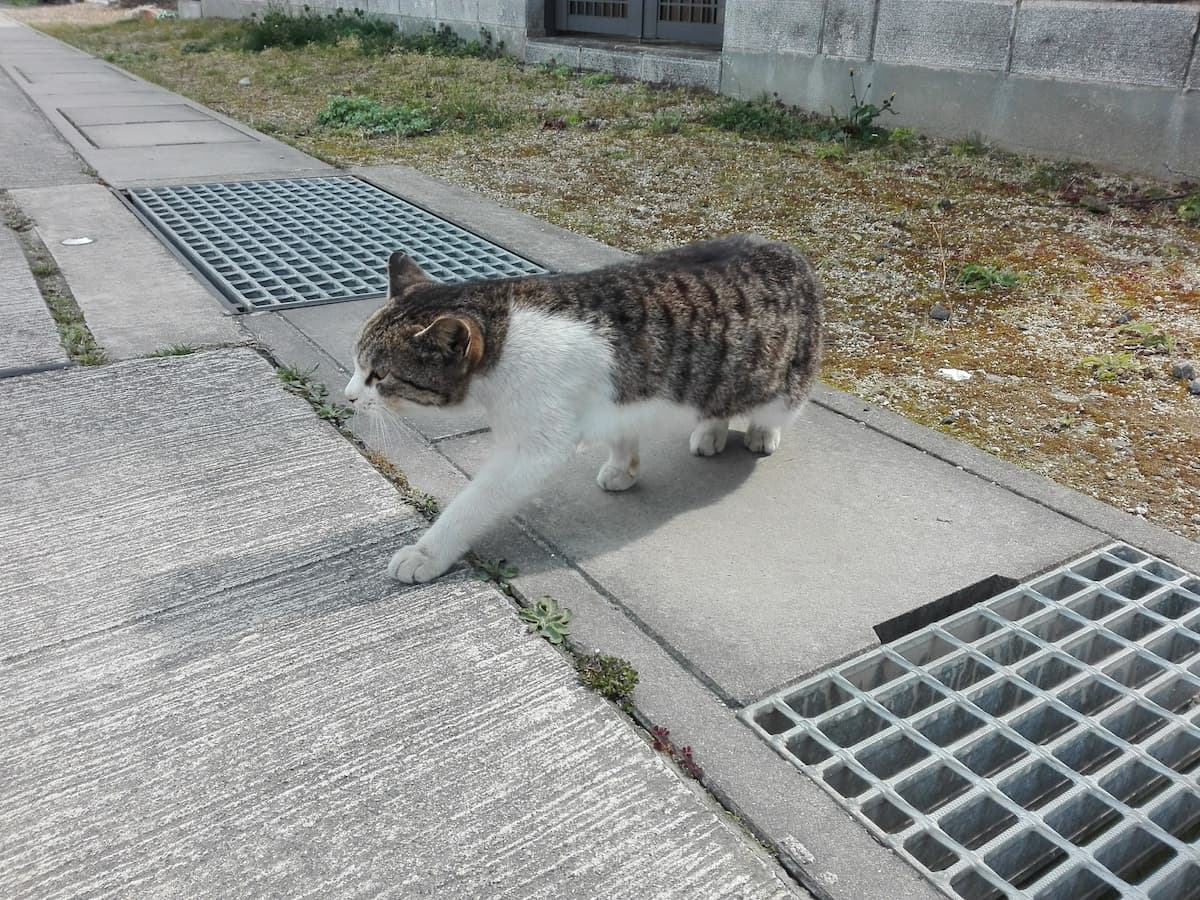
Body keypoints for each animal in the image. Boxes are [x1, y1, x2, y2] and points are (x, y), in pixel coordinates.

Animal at [343, 234, 820, 585]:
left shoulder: (533, 449)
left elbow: (474, 503)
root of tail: (788, 250)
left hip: (783, 386)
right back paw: (711, 429)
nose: (348, 395)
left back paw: (759, 432)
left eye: (379, 376)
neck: (504, 339)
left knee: (773, 408)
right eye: (357, 364)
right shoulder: (616, 402)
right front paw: (624, 467)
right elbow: (621, 433)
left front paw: (427, 552)